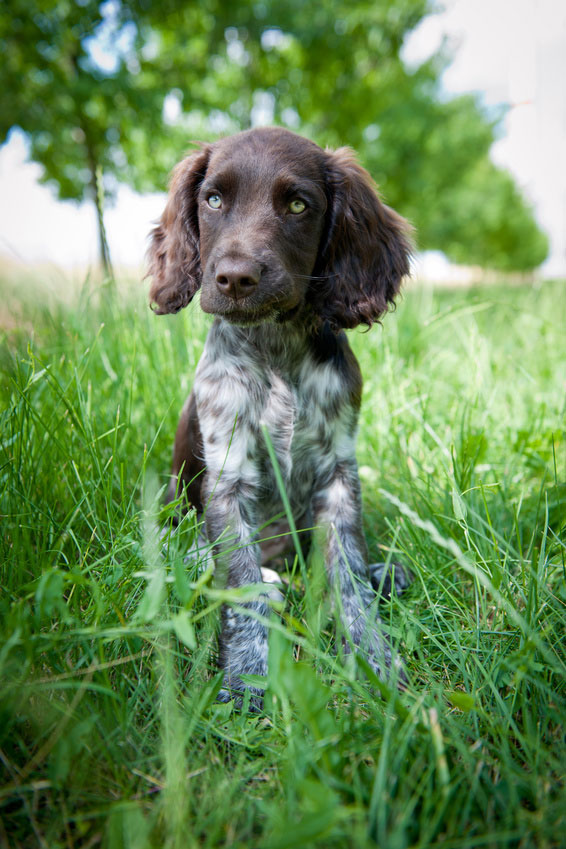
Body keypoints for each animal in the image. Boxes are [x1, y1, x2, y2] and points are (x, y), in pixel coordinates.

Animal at [146, 124, 412, 704]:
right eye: (213, 200)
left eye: (296, 205)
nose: (235, 278)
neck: (276, 347)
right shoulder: (228, 479)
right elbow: (240, 583)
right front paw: (245, 677)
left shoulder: (339, 474)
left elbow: (347, 570)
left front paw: (373, 657)